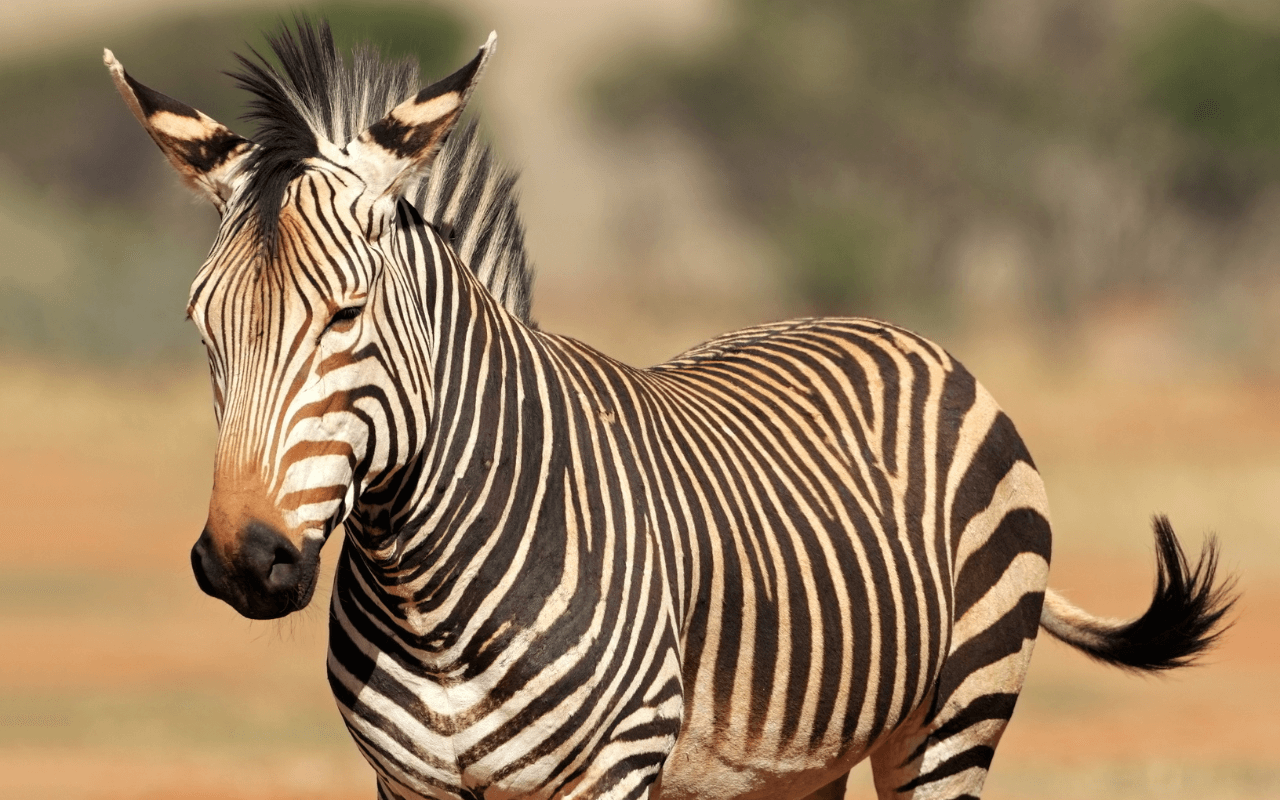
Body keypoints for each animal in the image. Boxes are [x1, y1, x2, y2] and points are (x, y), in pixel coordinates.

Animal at [107, 17, 1228, 798]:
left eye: (346, 315)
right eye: (203, 326)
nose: (243, 561)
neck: (430, 595)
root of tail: (893, 330)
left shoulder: (617, 760)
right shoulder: (407, 781)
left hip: (955, 715)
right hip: (794, 764)